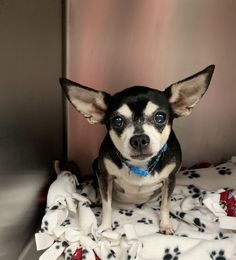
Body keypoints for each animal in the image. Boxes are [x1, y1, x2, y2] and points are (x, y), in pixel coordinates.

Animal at [60, 64, 215, 234]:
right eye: (117, 121)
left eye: (160, 117)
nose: (139, 139)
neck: (140, 166)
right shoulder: (106, 175)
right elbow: (108, 205)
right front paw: (105, 227)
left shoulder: (170, 178)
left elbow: (165, 205)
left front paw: (165, 225)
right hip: (96, 166)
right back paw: (99, 197)